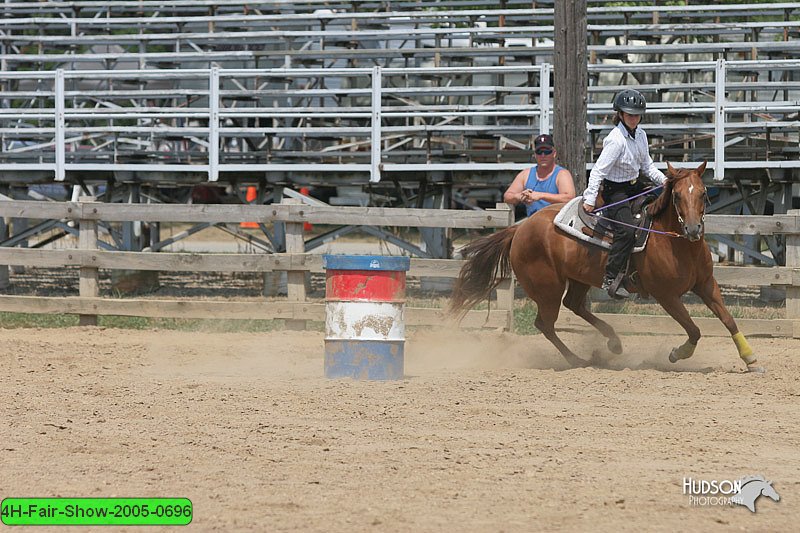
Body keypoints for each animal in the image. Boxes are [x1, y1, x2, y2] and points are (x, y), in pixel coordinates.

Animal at [450, 160, 764, 372]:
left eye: (702, 193)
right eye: (676, 196)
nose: (693, 229)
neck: (675, 243)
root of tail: (520, 228)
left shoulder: (706, 285)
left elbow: (728, 320)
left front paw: (751, 359)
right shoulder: (666, 296)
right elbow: (694, 330)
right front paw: (677, 353)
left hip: (578, 279)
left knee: (574, 305)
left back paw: (613, 343)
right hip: (547, 288)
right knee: (545, 324)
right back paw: (577, 359)